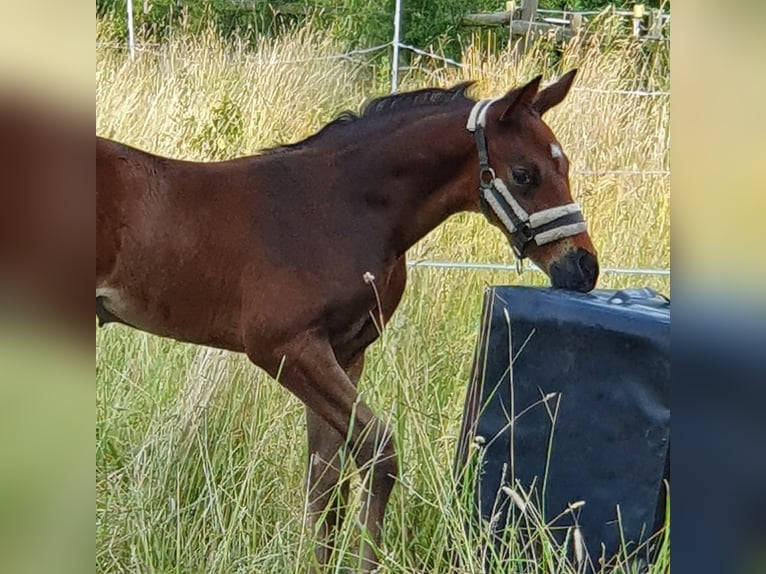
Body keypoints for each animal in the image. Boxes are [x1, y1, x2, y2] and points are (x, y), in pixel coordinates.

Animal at [96, 72, 600, 572]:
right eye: (525, 173)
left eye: (565, 167)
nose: (583, 267)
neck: (337, 207)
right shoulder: (286, 349)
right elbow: (378, 454)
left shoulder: (345, 353)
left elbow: (326, 481)